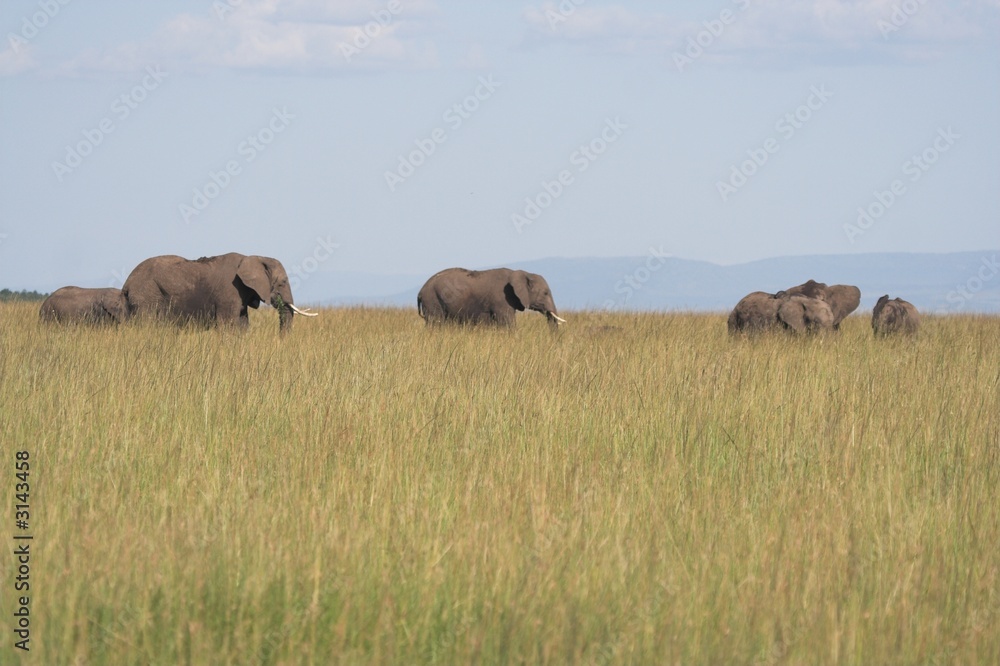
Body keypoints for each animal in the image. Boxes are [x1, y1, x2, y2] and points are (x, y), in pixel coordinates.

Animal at [122, 252, 316, 332]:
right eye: (283, 282)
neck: (254, 257)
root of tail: (127, 284)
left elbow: (242, 325)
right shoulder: (229, 292)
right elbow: (228, 326)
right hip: (146, 296)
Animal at [416, 264, 568, 326]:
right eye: (545, 293)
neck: (523, 272)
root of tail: (421, 291)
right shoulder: (502, 299)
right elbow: (508, 324)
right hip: (433, 300)